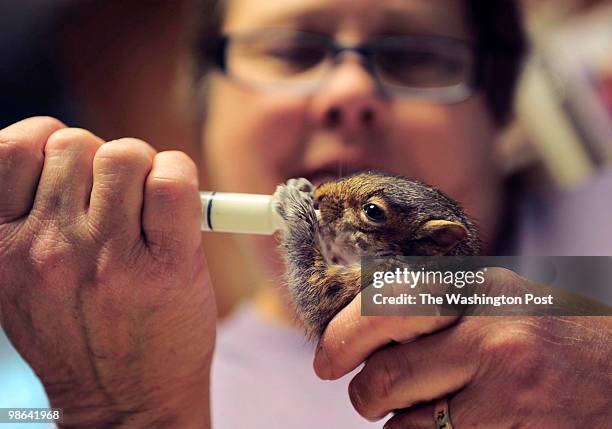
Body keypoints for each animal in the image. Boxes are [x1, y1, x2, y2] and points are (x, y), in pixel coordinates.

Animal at [274, 171, 480, 338]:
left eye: (373, 211)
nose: (319, 194)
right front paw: (302, 187)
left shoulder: (365, 280)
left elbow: (312, 294)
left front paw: (292, 206)